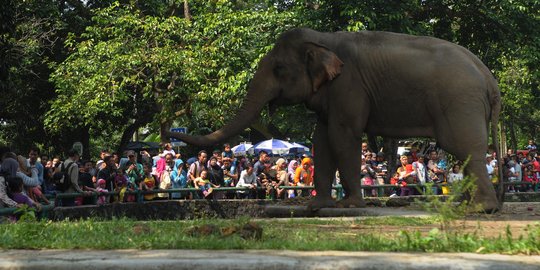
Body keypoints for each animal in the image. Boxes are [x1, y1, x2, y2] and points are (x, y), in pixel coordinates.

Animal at [167, 27, 504, 213]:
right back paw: (469, 205)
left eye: (278, 69)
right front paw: (316, 206)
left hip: (459, 102)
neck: (324, 41)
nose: (169, 132)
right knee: (463, 153)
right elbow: (322, 139)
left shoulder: (349, 86)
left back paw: (480, 209)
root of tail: (488, 77)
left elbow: (343, 136)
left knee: (465, 148)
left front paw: (349, 206)